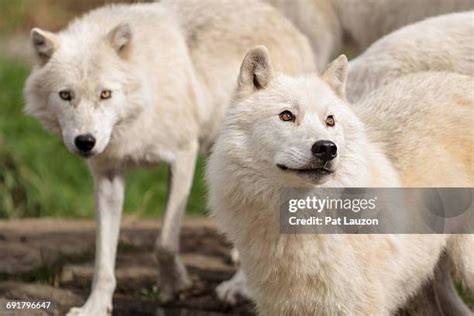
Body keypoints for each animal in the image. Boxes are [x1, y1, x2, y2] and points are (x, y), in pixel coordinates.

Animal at [25, 1, 314, 314]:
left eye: (105, 94)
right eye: (65, 95)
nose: (85, 142)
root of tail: (283, 21)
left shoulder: (183, 156)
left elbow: (164, 242)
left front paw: (174, 285)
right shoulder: (107, 175)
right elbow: (103, 259)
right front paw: (95, 306)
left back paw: (239, 284)